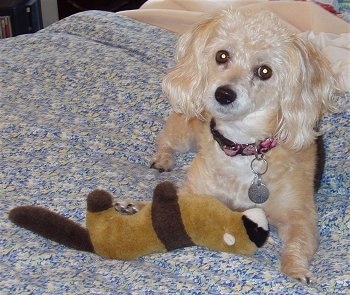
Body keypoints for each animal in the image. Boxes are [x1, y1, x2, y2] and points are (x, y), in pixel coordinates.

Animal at [148, 8, 334, 284]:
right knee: (165, 140)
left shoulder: (300, 216)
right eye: (222, 55)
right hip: (183, 132)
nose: (223, 94)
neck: (243, 147)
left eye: (265, 71)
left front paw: (296, 272)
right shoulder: (194, 192)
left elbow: (297, 245)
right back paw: (162, 160)